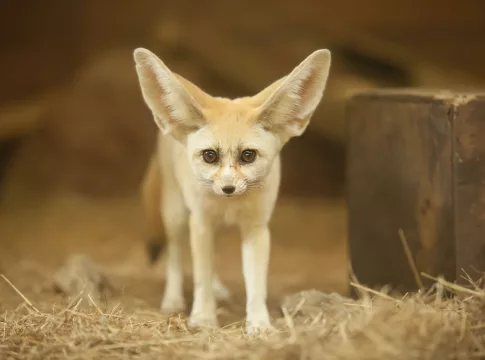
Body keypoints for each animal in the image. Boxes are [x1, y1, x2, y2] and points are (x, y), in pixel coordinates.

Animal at [133, 47, 328, 334]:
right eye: (210, 156)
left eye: (248, 155)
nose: (228, 187)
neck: (230, 205)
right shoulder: (200, 221)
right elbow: (200, 275)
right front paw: (203, 318)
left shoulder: (256, 228)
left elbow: (256, 284)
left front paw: (259, 324)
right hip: (176, 215)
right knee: (175, 253)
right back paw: (173, 298)